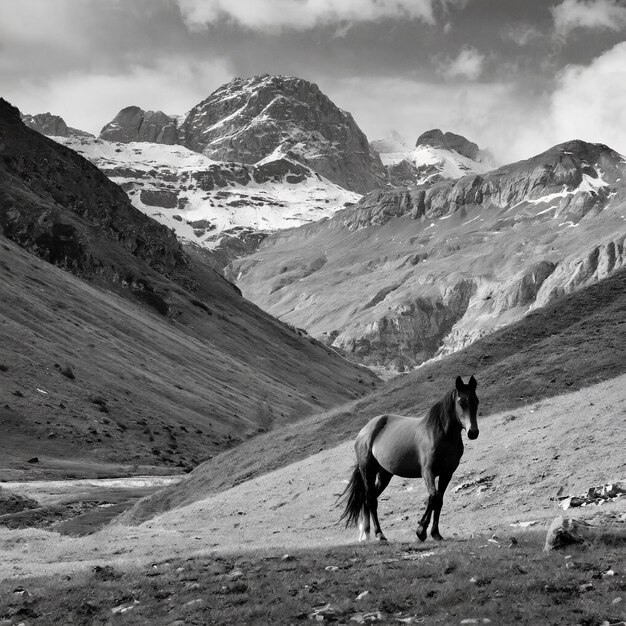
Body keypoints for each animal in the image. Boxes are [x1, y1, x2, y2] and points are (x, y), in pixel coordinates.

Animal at [336, 376, 478, 540]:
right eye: (461, 402)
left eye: (476, 400)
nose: (473, 432)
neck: (441, 435)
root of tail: (365, 430)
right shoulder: (427, 472)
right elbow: (433, 497)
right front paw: (421, 531)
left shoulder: (447, 474)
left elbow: (439, 500)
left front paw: (435, 533)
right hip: (368, 471)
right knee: (371, 499)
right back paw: (379, 534)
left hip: (385, 474)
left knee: (369, 499)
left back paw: (366, 534)